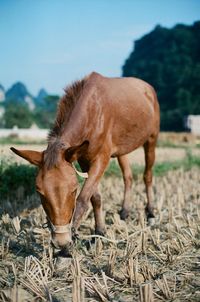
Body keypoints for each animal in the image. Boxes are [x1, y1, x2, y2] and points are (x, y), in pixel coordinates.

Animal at [11, 72, 160, 250]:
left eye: (73, 189)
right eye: (39, 191)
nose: (60, 242)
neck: (93, 111)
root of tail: (148, 88)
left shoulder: (101, 158)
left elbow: (83, 199)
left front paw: (72, 239)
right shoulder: (83, 159)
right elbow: (95, 197)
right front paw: (99, 232)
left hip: (151, 139)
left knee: (147, 175)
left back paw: (150, 212)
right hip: (122, 148)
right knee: (128, 177)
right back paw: (124, 211)